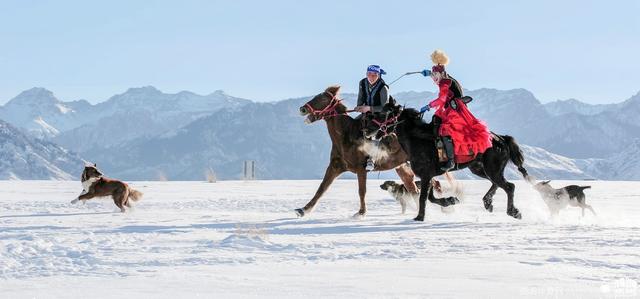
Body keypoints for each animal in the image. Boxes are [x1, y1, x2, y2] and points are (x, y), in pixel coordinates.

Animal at [298, 85, 448, 219]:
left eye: (323, 99)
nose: (302, 109)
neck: (346, 135)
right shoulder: (335, 167)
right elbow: (321, 188)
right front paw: (303, 210)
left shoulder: (361, 169)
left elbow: (361, 191)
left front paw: (361, 213)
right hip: (403, 168)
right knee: (414, 189)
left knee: (433, 184)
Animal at [364, 104, 528, 221]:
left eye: (383, 113)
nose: (366, 128)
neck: (418, 139)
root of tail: (501, 139)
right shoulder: (428, 176)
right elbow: (430, 197)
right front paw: (450, 201)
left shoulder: (426, 175)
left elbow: (423, 197)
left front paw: (419, 217)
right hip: (479, 168)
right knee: (497, 184)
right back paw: (488, 203)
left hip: (492, 169)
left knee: (509, 187)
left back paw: (513, 212)